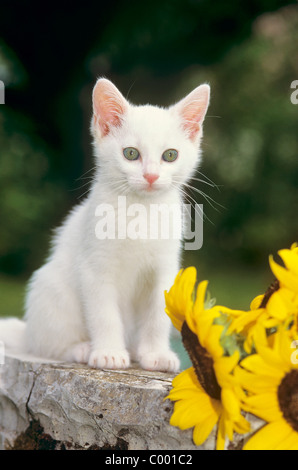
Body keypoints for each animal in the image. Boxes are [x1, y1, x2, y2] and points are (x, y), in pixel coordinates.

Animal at [0, 78, 210, 370]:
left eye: (170, 155)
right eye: (131, 153)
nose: (151, 176)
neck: (140, 210)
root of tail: (27, 331)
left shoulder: (165, 268)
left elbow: (158, 314)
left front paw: (156, 354)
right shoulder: (94, 267)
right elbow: (104, 314)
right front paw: (109, 352)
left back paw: (135, 350)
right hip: (50, 290)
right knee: (47, 344)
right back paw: (81, 348)